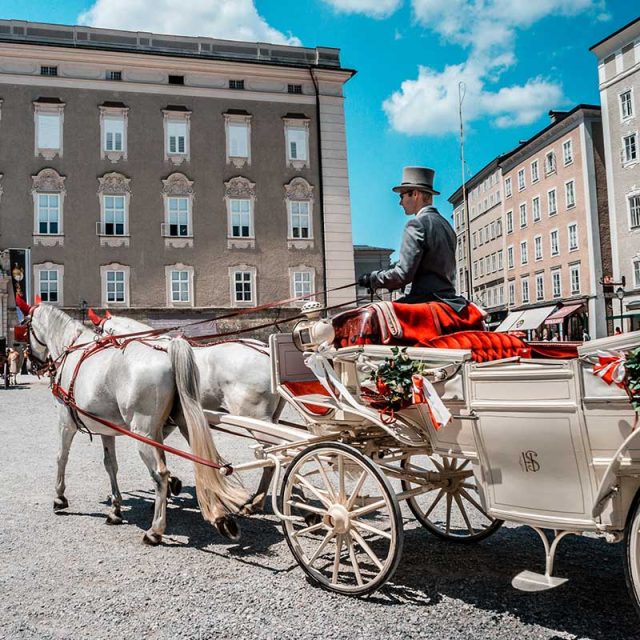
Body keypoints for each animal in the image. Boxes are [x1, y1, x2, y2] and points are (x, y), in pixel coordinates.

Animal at [22, 302, 248, 544]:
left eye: (25, 326)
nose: (32, 364)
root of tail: (168, 351)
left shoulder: (66, 422)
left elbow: (61, 458)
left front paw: (60, 497)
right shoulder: (107, 429)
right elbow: (110, 464)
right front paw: (115, 508)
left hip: (144, 432)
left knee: (161, 473)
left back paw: (156, 530)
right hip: (186, 422)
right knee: (207, 461)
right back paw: (221, 516)